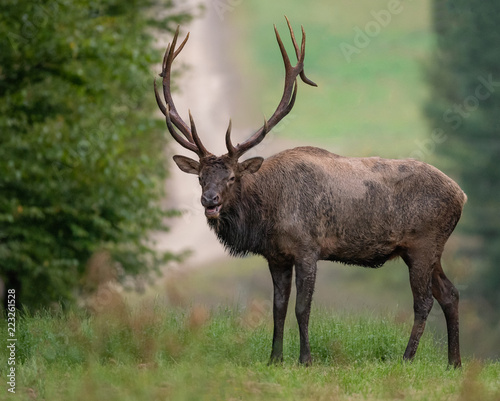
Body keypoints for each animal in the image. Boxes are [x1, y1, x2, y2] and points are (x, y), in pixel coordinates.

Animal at [154, 19, 466, 368]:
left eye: (232, 177)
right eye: (200, 177)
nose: (210, 200)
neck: (267, 216)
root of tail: (461, 195)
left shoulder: (307, 248)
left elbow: (302, 308)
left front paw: (306, 358)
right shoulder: (276, 256)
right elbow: (277, 308)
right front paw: (274, 358)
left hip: (423, 243)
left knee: (424, 301)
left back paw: (407, 358)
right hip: (426, 250)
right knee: (450, 293)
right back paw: (454, 362)